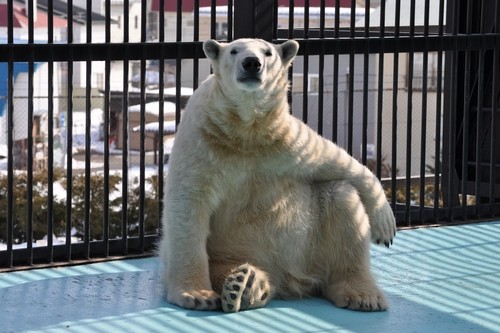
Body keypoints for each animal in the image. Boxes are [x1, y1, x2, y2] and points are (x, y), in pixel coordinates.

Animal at [159, 38, 394, 312]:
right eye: (234, 50)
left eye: (268, 52)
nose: (252, 63)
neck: (245, 132)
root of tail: (290, 279)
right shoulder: (203, 141)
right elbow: (189, 204)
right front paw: (197, 295)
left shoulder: (286, 144)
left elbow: (335, 159)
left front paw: (385, 226)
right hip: (227, 251)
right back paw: (245, 284)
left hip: (312, 244)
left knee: (341, 199)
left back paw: (362, 295)